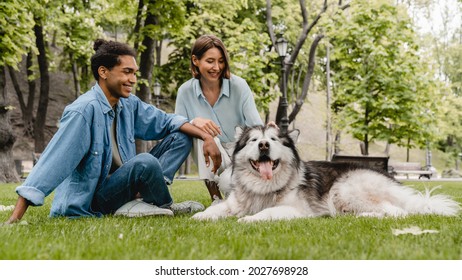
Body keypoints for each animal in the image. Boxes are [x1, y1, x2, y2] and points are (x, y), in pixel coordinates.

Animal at [190, 126, 458, 222]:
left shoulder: (297, 210)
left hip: (345, 188)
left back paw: (362, 216)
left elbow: (267, 212)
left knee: (396, 212)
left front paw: (249, 220)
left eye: (274, 140)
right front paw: (201, 216)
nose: (264, 145)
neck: (263, 188)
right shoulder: (235, 203)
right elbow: (216, 209)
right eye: (254, 140)